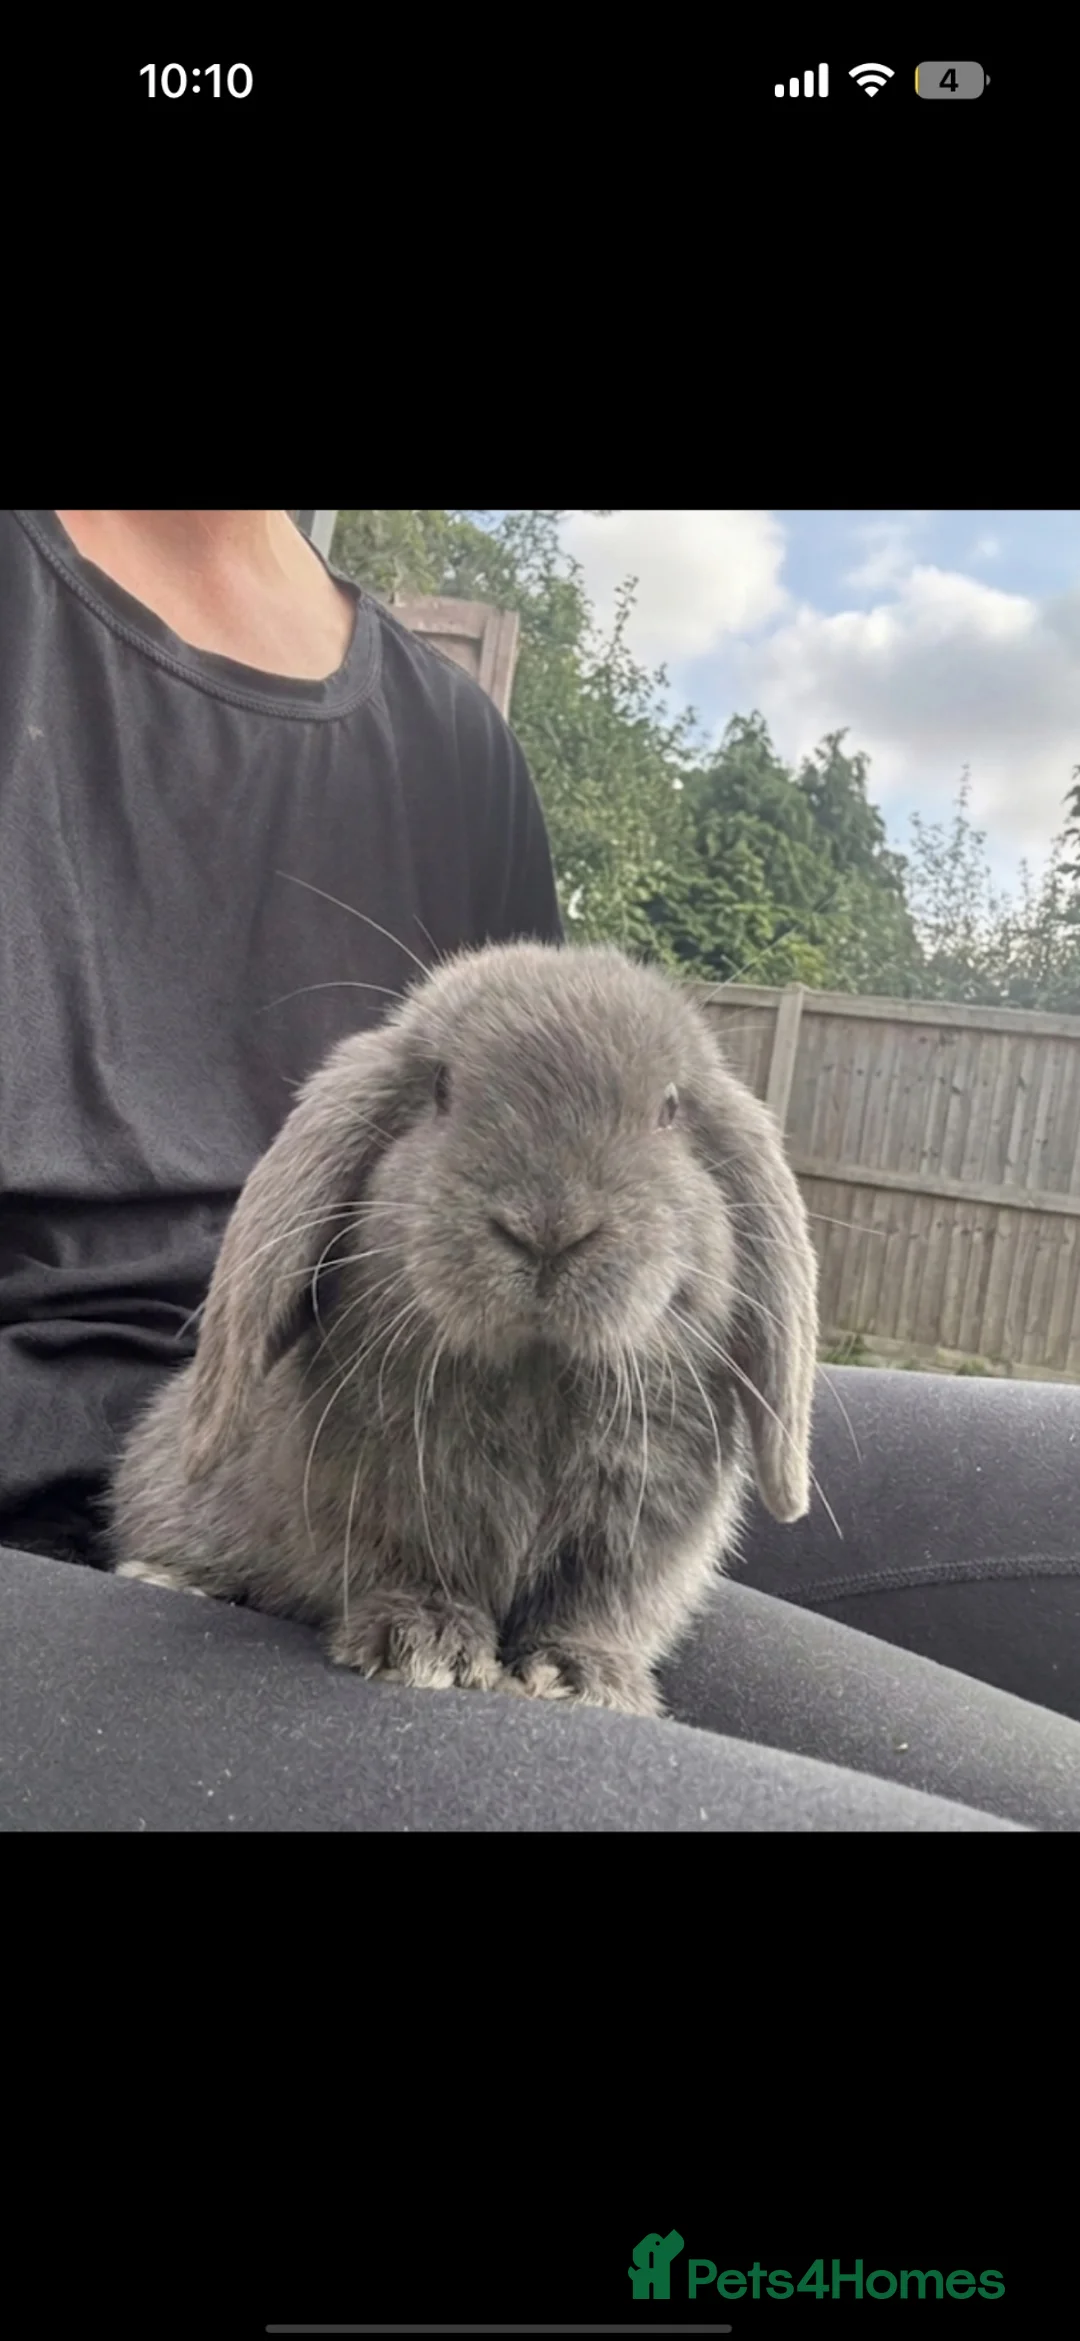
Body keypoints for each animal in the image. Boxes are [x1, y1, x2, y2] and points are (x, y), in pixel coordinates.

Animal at [107, 940, 819, 1719]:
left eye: (668, 1110)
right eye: (442, 1089)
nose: (548, 1229)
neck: (537, 1372)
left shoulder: (630, 1545)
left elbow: (595, 1611)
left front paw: (581, 1678)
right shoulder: (388, 1512)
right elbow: (410, 1572)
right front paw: (426, 1647)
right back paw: (171, 1579)